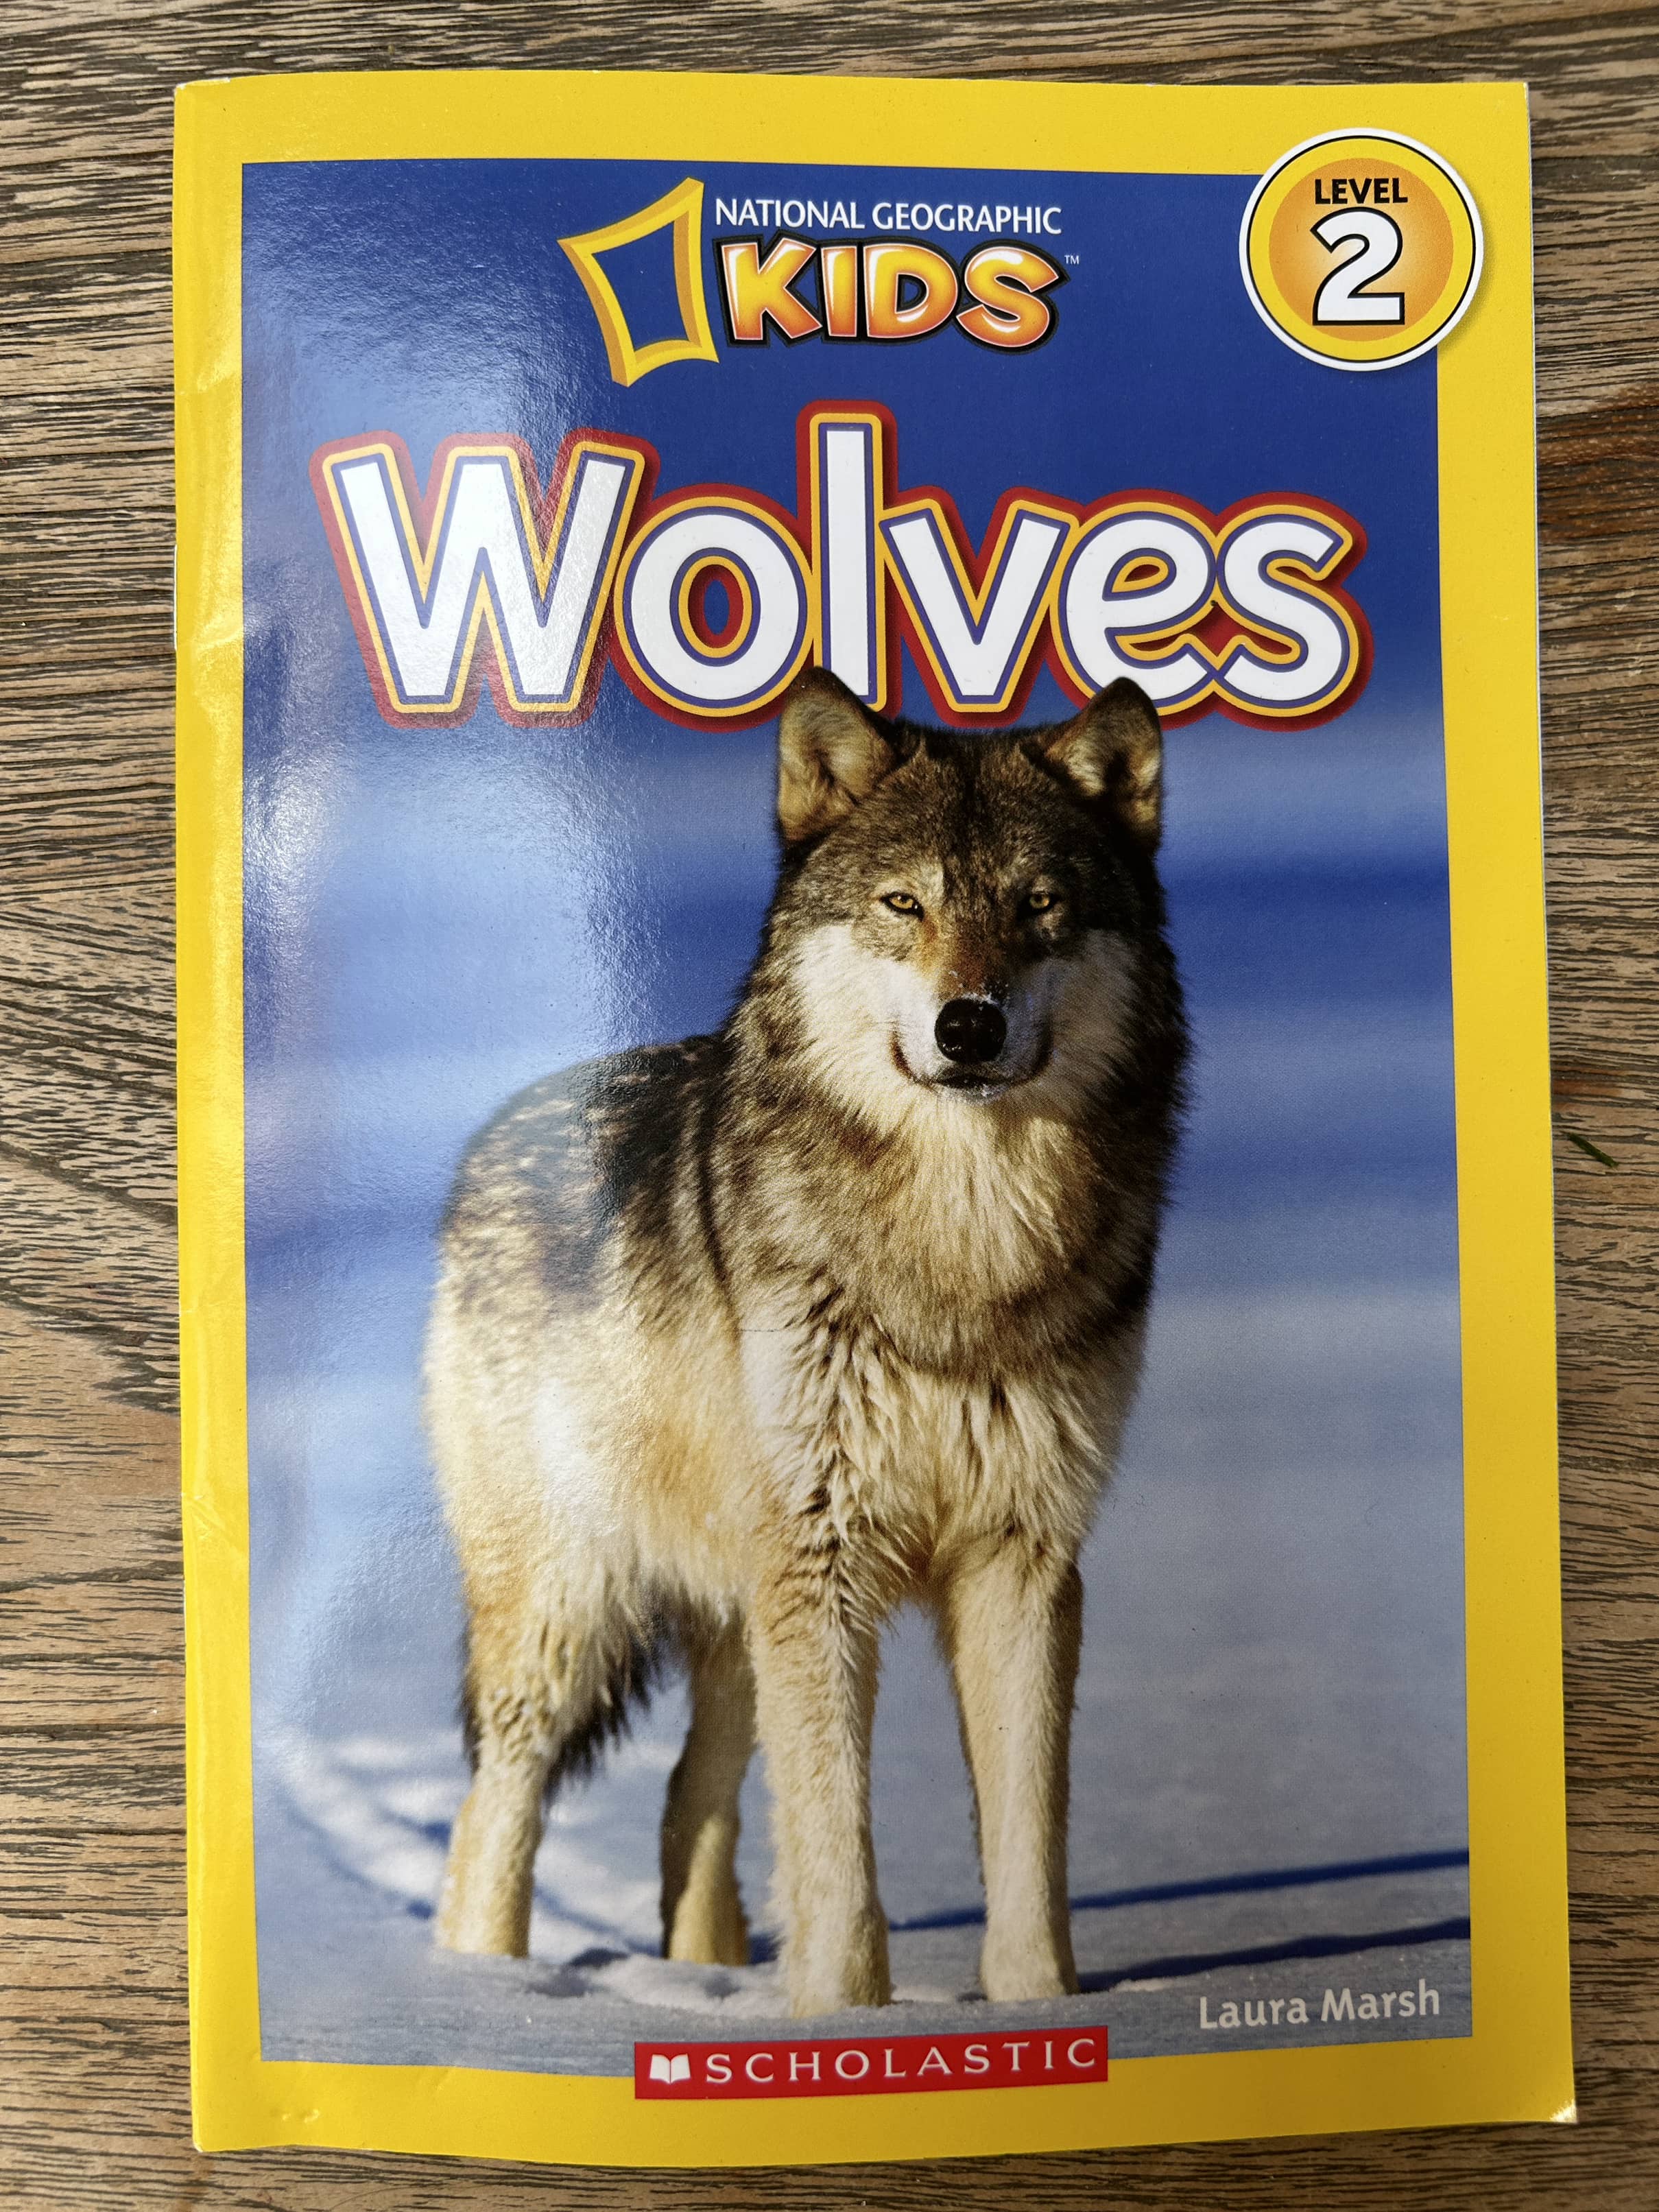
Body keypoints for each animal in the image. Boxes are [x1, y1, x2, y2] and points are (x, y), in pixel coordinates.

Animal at [426, 667, 1186, 2017]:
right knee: (493, 1811)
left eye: (1038, 906)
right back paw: (481, 2004)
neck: (957, 1253)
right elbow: (835, 1844)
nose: (967, 1025)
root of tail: (497, 1131)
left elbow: (1027, 1841)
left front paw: (1040, 2013)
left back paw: (699, 1977)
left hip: (734, 1619)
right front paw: (842, 2022)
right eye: (903, 904)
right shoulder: (821, 1564)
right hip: (568, 1611)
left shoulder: (1021, 1559)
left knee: (694, 1796)